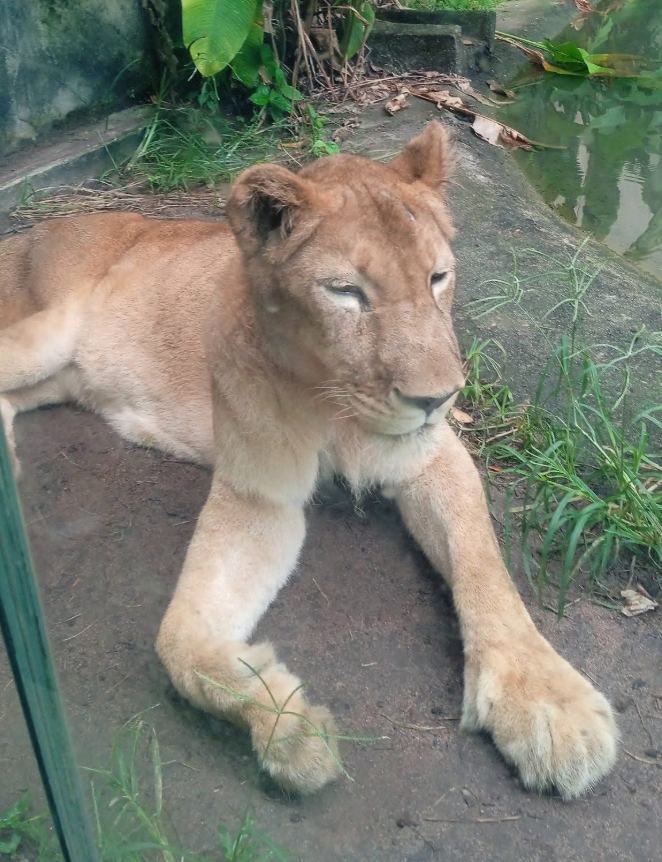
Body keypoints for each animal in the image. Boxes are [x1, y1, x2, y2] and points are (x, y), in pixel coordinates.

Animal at [0, 122, 617, 798]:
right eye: (345, 292)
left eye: (438, 277)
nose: (437, 398)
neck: (336, 406)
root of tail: (29, 233)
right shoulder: (259, 495)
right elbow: (180, 642)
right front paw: (287, 726)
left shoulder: (435, 458)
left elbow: (485, 570)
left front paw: (546, 702)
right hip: (47, 334)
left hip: (60, 376)